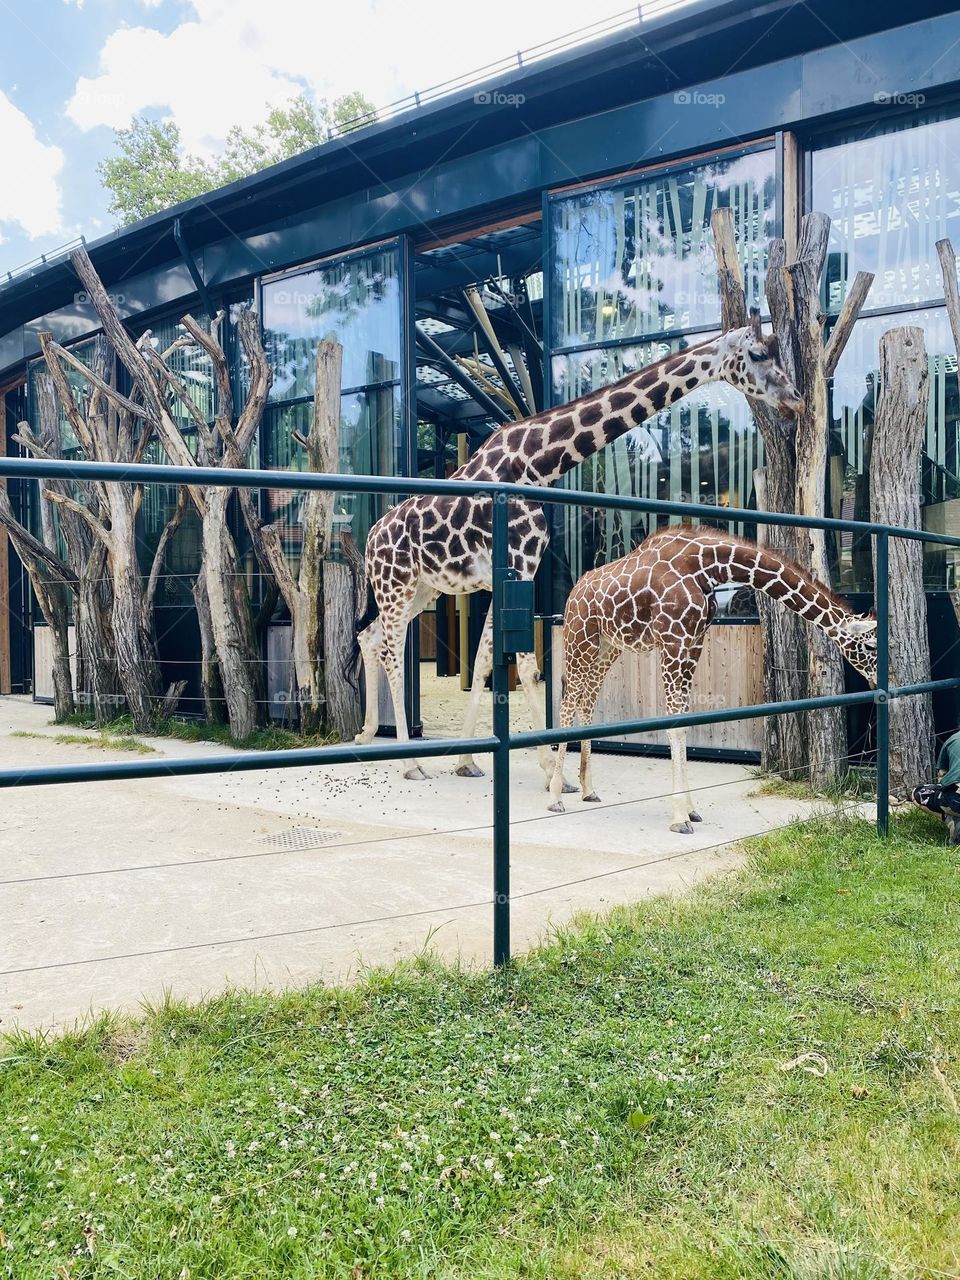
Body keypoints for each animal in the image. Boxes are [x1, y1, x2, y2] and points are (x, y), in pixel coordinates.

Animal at [354, 312, 804, 781]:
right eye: (758, 354)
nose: (797, 401)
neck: (536, 464)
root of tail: (369, 540)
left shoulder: (507, 571)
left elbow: (484, 661)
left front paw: (468, 760)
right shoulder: (518, 563)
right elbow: (528, 666)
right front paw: (553, 767)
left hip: (421, 589)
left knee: (369, 636)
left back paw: (366, 735)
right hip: (396, 584)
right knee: (390, 650)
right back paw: (410, 761)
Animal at [547, 525, 879, 830]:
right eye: (870, 645)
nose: (876, 681)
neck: (708, 569)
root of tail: (574, 592)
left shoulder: (693, 643)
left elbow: (685, 722)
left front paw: (691, 810)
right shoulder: (674, 642)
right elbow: (674, 725)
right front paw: (680, 818)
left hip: (608, 646)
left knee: (587, 702)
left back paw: (589, 791)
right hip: (579, 639)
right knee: (567, 704)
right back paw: (556, 797)